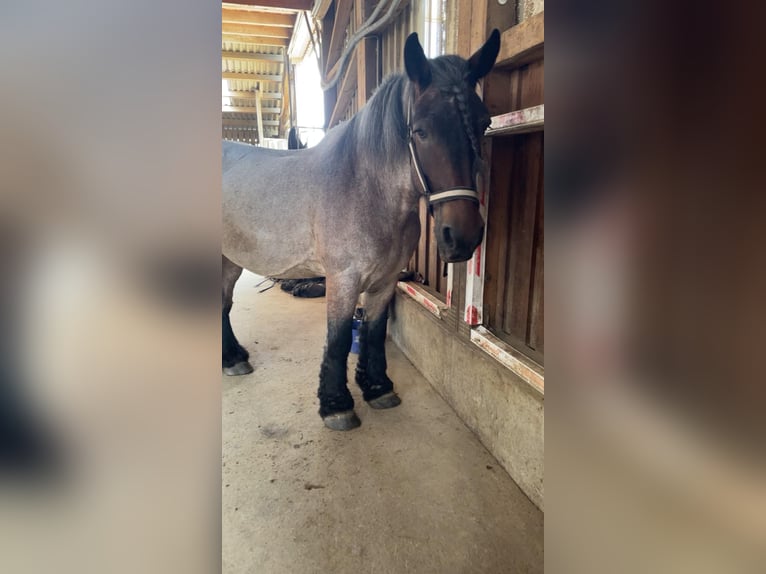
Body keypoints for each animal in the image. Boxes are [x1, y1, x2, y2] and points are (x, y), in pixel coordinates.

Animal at [223, 30, 500, 430]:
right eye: (421, 131)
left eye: (484, 123)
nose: (462, 237)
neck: (365, 189)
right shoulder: (343, 279)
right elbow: (339, 339)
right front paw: (336, 405)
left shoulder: (386, 280)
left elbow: (374, 331)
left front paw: (378, 388)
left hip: (230, 258)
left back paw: (233, 358)